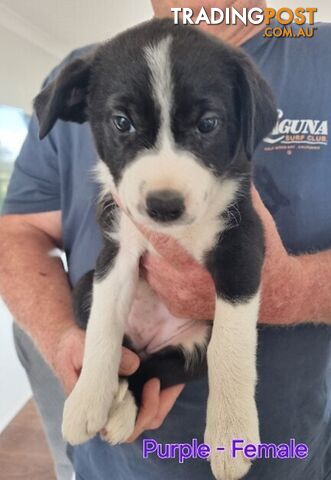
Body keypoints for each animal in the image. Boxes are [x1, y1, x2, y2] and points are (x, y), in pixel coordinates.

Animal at [34, 18, 278, 480]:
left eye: (208, 124)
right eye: (122, 122)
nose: (164, 205)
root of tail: (152, 340)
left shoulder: (242, 244)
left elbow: (231, 346)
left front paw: (231, 433)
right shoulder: (117, 247)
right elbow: (103, 331)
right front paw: (88, 398)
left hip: (188, 352)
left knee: (152, 368)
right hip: (85, 287)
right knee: (129, 357)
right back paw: (115, 403)